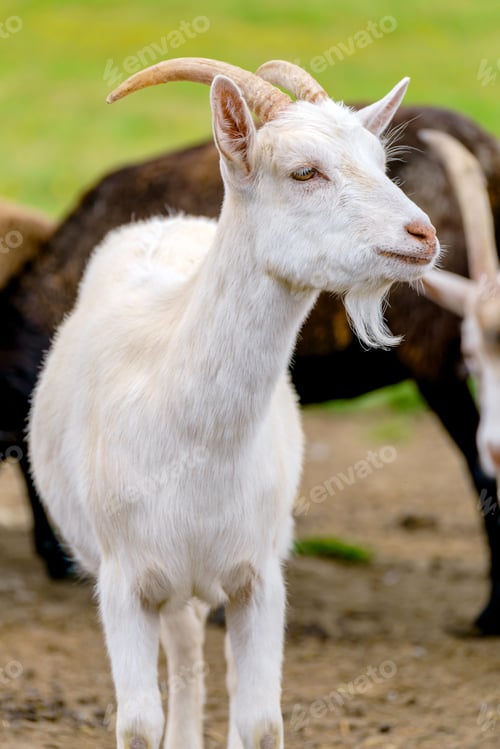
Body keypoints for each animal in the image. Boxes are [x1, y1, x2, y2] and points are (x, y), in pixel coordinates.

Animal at [28, 58, 438, 749]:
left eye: (381, 163)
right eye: (304, 171)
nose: (423, 235)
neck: (194, 436)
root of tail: (166, 222)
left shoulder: (260, 577)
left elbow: (261, 720)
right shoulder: (123, 580)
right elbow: (138, 723)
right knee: (185, 656)